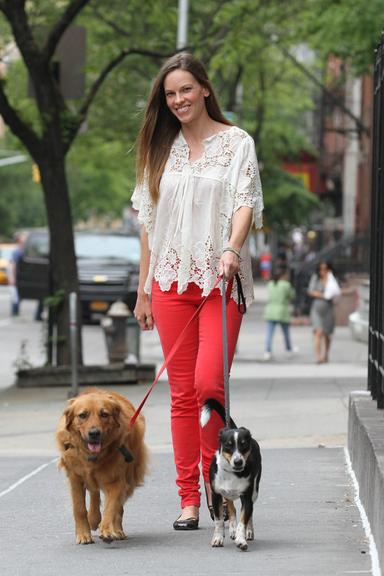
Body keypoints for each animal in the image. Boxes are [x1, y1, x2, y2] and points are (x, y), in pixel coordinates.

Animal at [201, 398, 260, 552]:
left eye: (244, 444)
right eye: (228, 445)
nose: (238, 461)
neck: (233, 473)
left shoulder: (247, 497)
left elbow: (243, 520)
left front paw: (241, 539)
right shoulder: (216, 495)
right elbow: (219, 521)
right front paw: (217, 538)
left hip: (255, 491)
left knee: (250, 514)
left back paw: (249, 532)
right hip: (226, 494)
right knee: (231, 508)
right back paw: (232, 530)